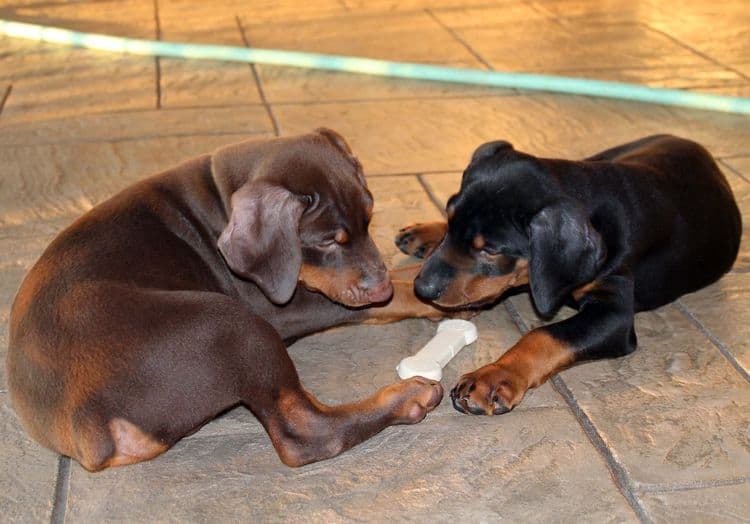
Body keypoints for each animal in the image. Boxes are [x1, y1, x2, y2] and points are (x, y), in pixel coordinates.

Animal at [7, 130, 446, 470]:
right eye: (326, 241)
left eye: (369, 221)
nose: (379, 286)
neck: (219, 196)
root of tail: (88, 427)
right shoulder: (278, 306)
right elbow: (383, 301)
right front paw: (429, 297)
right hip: (231, 321)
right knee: (305, 434)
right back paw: (408, 397)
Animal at [396, 136, 744, 418]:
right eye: (450, 217)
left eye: (491, 250)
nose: (422, 288)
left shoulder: (613, 315)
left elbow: (543, 335)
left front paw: (491, 378)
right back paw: (422, 234)